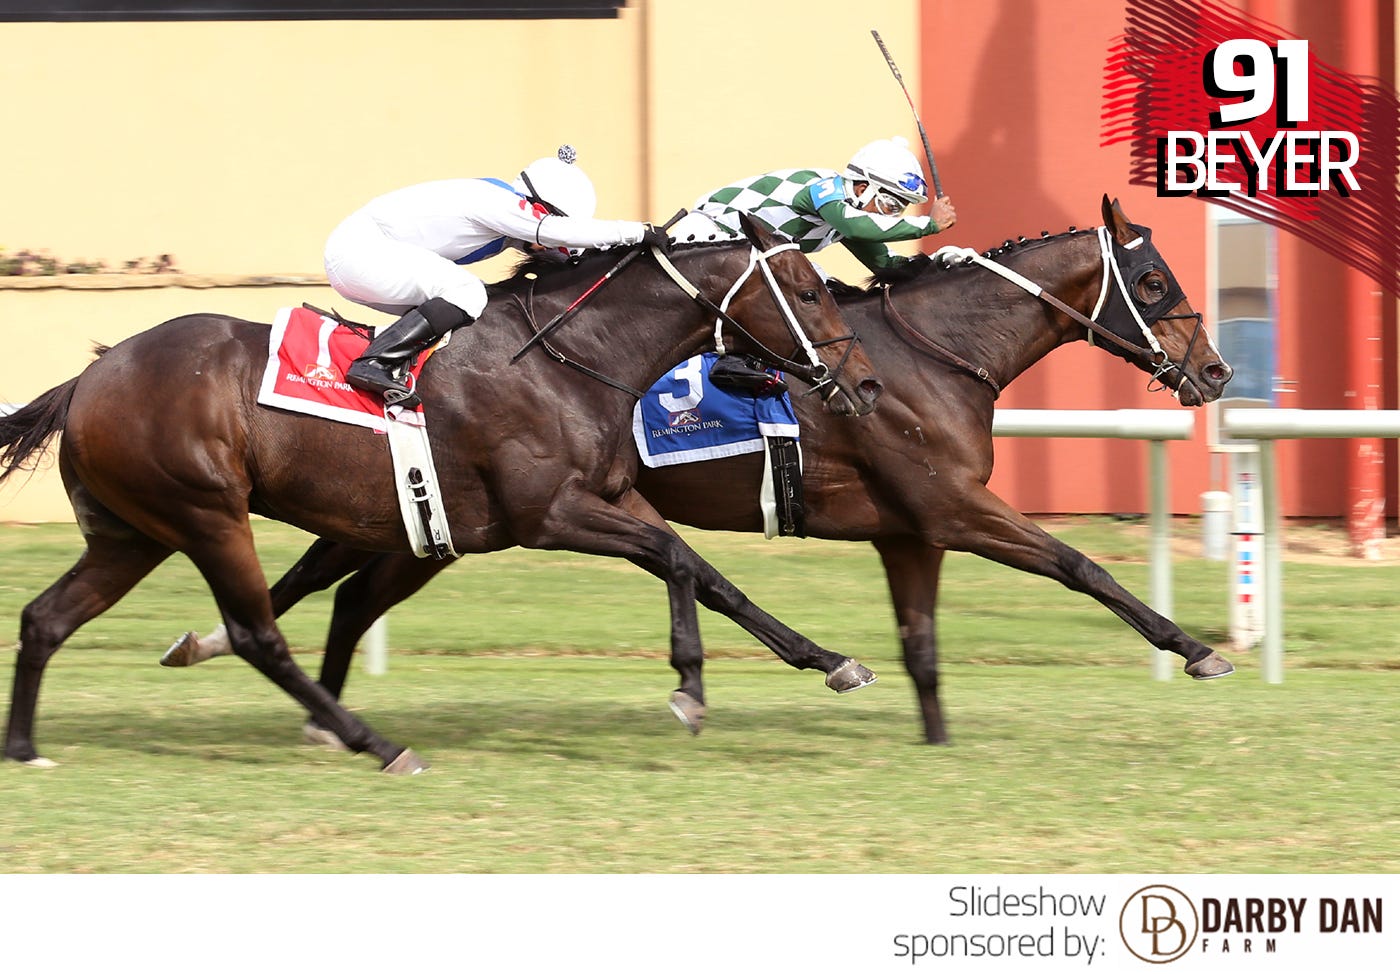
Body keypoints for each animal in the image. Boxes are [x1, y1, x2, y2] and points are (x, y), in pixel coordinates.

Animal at [0, 214, 886, 773]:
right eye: (811, 293)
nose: (866, 384)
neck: (569, 358)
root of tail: (90, 377)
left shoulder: (609, 500)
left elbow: (708, 575)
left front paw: (829, 660)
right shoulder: (550, 515)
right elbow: (675, 561)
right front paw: (690, 691)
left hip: (135, 531)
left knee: (46, 617)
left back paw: (25, 747)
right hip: (206, 514)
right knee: (258, 634)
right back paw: (379, 745)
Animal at [165, 196, 1236, 745]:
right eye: (1154, 281)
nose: (1217, 372)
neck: (927, 354)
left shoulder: (909, 529)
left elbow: (923, 644)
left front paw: (929, 738)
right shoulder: (952, 507)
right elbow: (1079, 565)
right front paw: (1197, 647)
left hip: (435, 525)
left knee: (340, 588)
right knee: (332, 586)